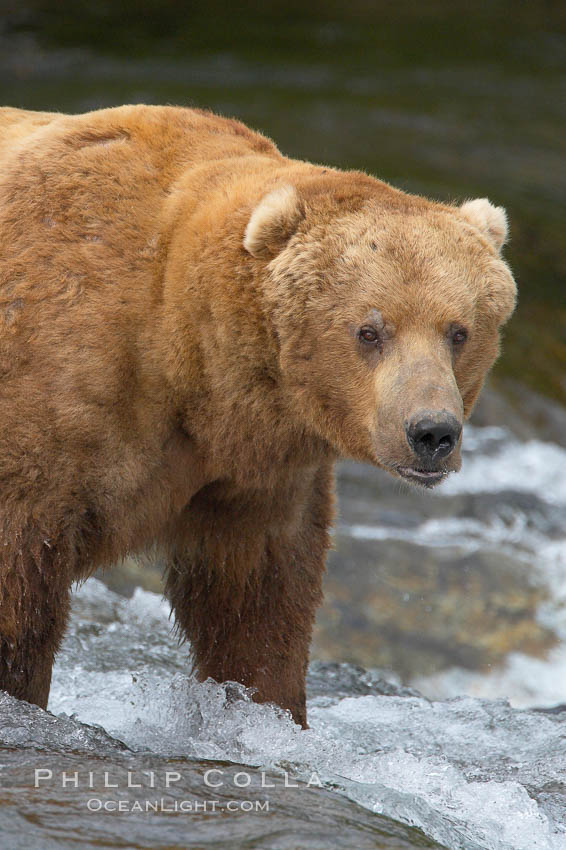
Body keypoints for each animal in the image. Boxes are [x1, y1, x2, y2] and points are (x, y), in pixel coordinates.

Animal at [0, 104, 516, 724]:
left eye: (458, 331)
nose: (432, 432)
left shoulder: (252, 477)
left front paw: (261, 710)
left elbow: (258, 606)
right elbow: (21, 594)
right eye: (370, 331)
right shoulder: (55, 397)